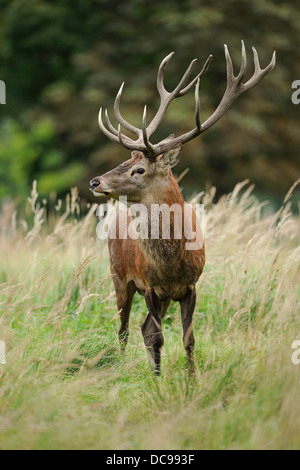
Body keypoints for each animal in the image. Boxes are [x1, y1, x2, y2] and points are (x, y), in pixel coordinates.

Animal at [90, 42, 276, 376]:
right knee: (125, 328)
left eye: (139, 169)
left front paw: (191, 380)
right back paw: (125, 366)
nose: (95, 181)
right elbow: (157, 336)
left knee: (138, 327)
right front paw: (159, 383)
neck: (171, 265)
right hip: (118, 275)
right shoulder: (150, 286)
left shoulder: (190, 286)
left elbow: (188, 339)